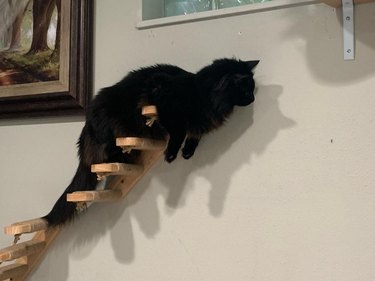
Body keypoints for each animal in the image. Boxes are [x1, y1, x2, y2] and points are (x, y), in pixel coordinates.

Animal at [42, 57, 260, 225]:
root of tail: (87, 123)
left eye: (252, 91)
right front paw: (172, 154)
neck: (202, 93)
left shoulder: (197, 123)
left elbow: (194, 136)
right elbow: (179, 131)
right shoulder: (165, 100)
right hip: (115, 130)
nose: (253, 100)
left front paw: (187, 152)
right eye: (246, 91)